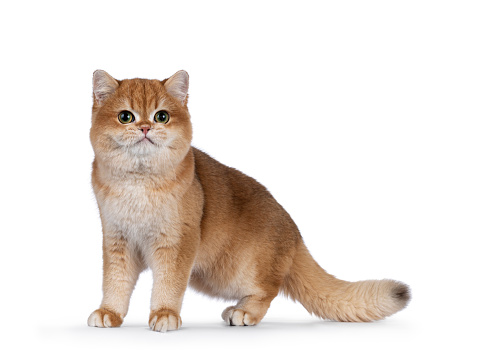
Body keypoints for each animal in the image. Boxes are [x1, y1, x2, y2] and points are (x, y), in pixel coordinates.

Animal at [88, 70, 410, 334]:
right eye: (126, 117)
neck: (137, 184)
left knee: (269, 289)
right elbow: (115, 282)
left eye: (162, 116)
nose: (145, 128)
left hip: (235, 270)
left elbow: (168, 284)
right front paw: (109, 313)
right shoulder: (117, 241)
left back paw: (243, 312)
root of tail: (295, 234)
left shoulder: (177, 243)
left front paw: (165, 314)